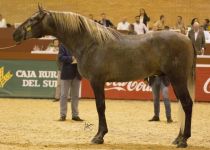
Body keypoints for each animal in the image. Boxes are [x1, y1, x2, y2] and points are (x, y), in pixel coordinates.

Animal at [13, 5, 196, 148]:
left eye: (33, 19)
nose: (15, 34)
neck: (90, 43)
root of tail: (187, 39)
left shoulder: (97, 81)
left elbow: (100, 107)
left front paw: (99, 136)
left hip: (177, 79)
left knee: (187, 104)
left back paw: (183, 140)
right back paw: (178, 138)